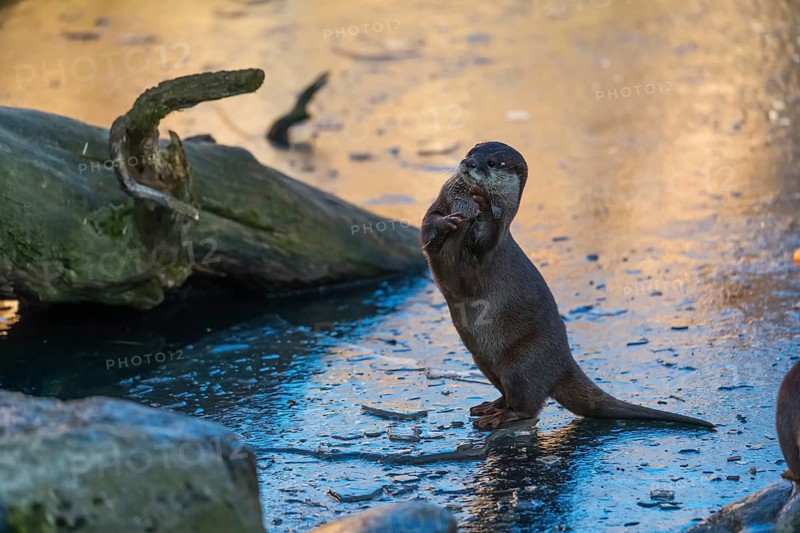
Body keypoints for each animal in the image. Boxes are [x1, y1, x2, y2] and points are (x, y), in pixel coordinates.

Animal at [420, 141, 713, 430]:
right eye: (471, 151)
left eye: (491, 163)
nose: (468, 163)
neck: (465, 207)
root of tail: (564, 363)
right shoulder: (441, 204)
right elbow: (428, 223)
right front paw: (446, 222)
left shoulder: (492, 242)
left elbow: (488, 233)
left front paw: (483, 207)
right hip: (485, 362)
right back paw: (489, 406)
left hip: (522, 362)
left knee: (527, 405)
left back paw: (499, 416)